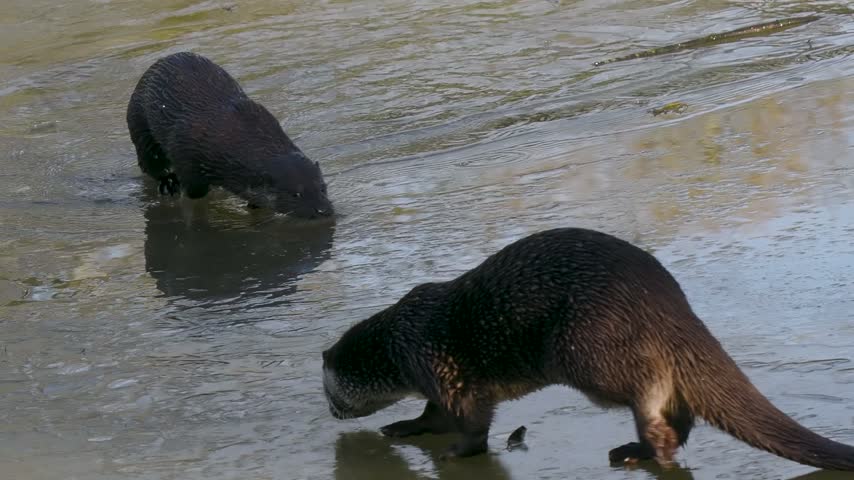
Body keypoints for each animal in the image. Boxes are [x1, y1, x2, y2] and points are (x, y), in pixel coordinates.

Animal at [126, 51, 333, 219]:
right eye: (295, 194)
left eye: (323, 187)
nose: (322, 210)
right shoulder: (185, 153)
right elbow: (192, 191)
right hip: (141, 129)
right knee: (150, 164)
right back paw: (168, 184)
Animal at [322, 228, 854, 471]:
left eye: (327, 393)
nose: (332, 414)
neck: (396, 344)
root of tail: (664, 299)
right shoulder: (431, 378)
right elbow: (431, 416)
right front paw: (402, 427)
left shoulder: (438, 365)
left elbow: (470, 421)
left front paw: (456, 452)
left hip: (583, 347)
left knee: (649, 387)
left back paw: (643, 448)